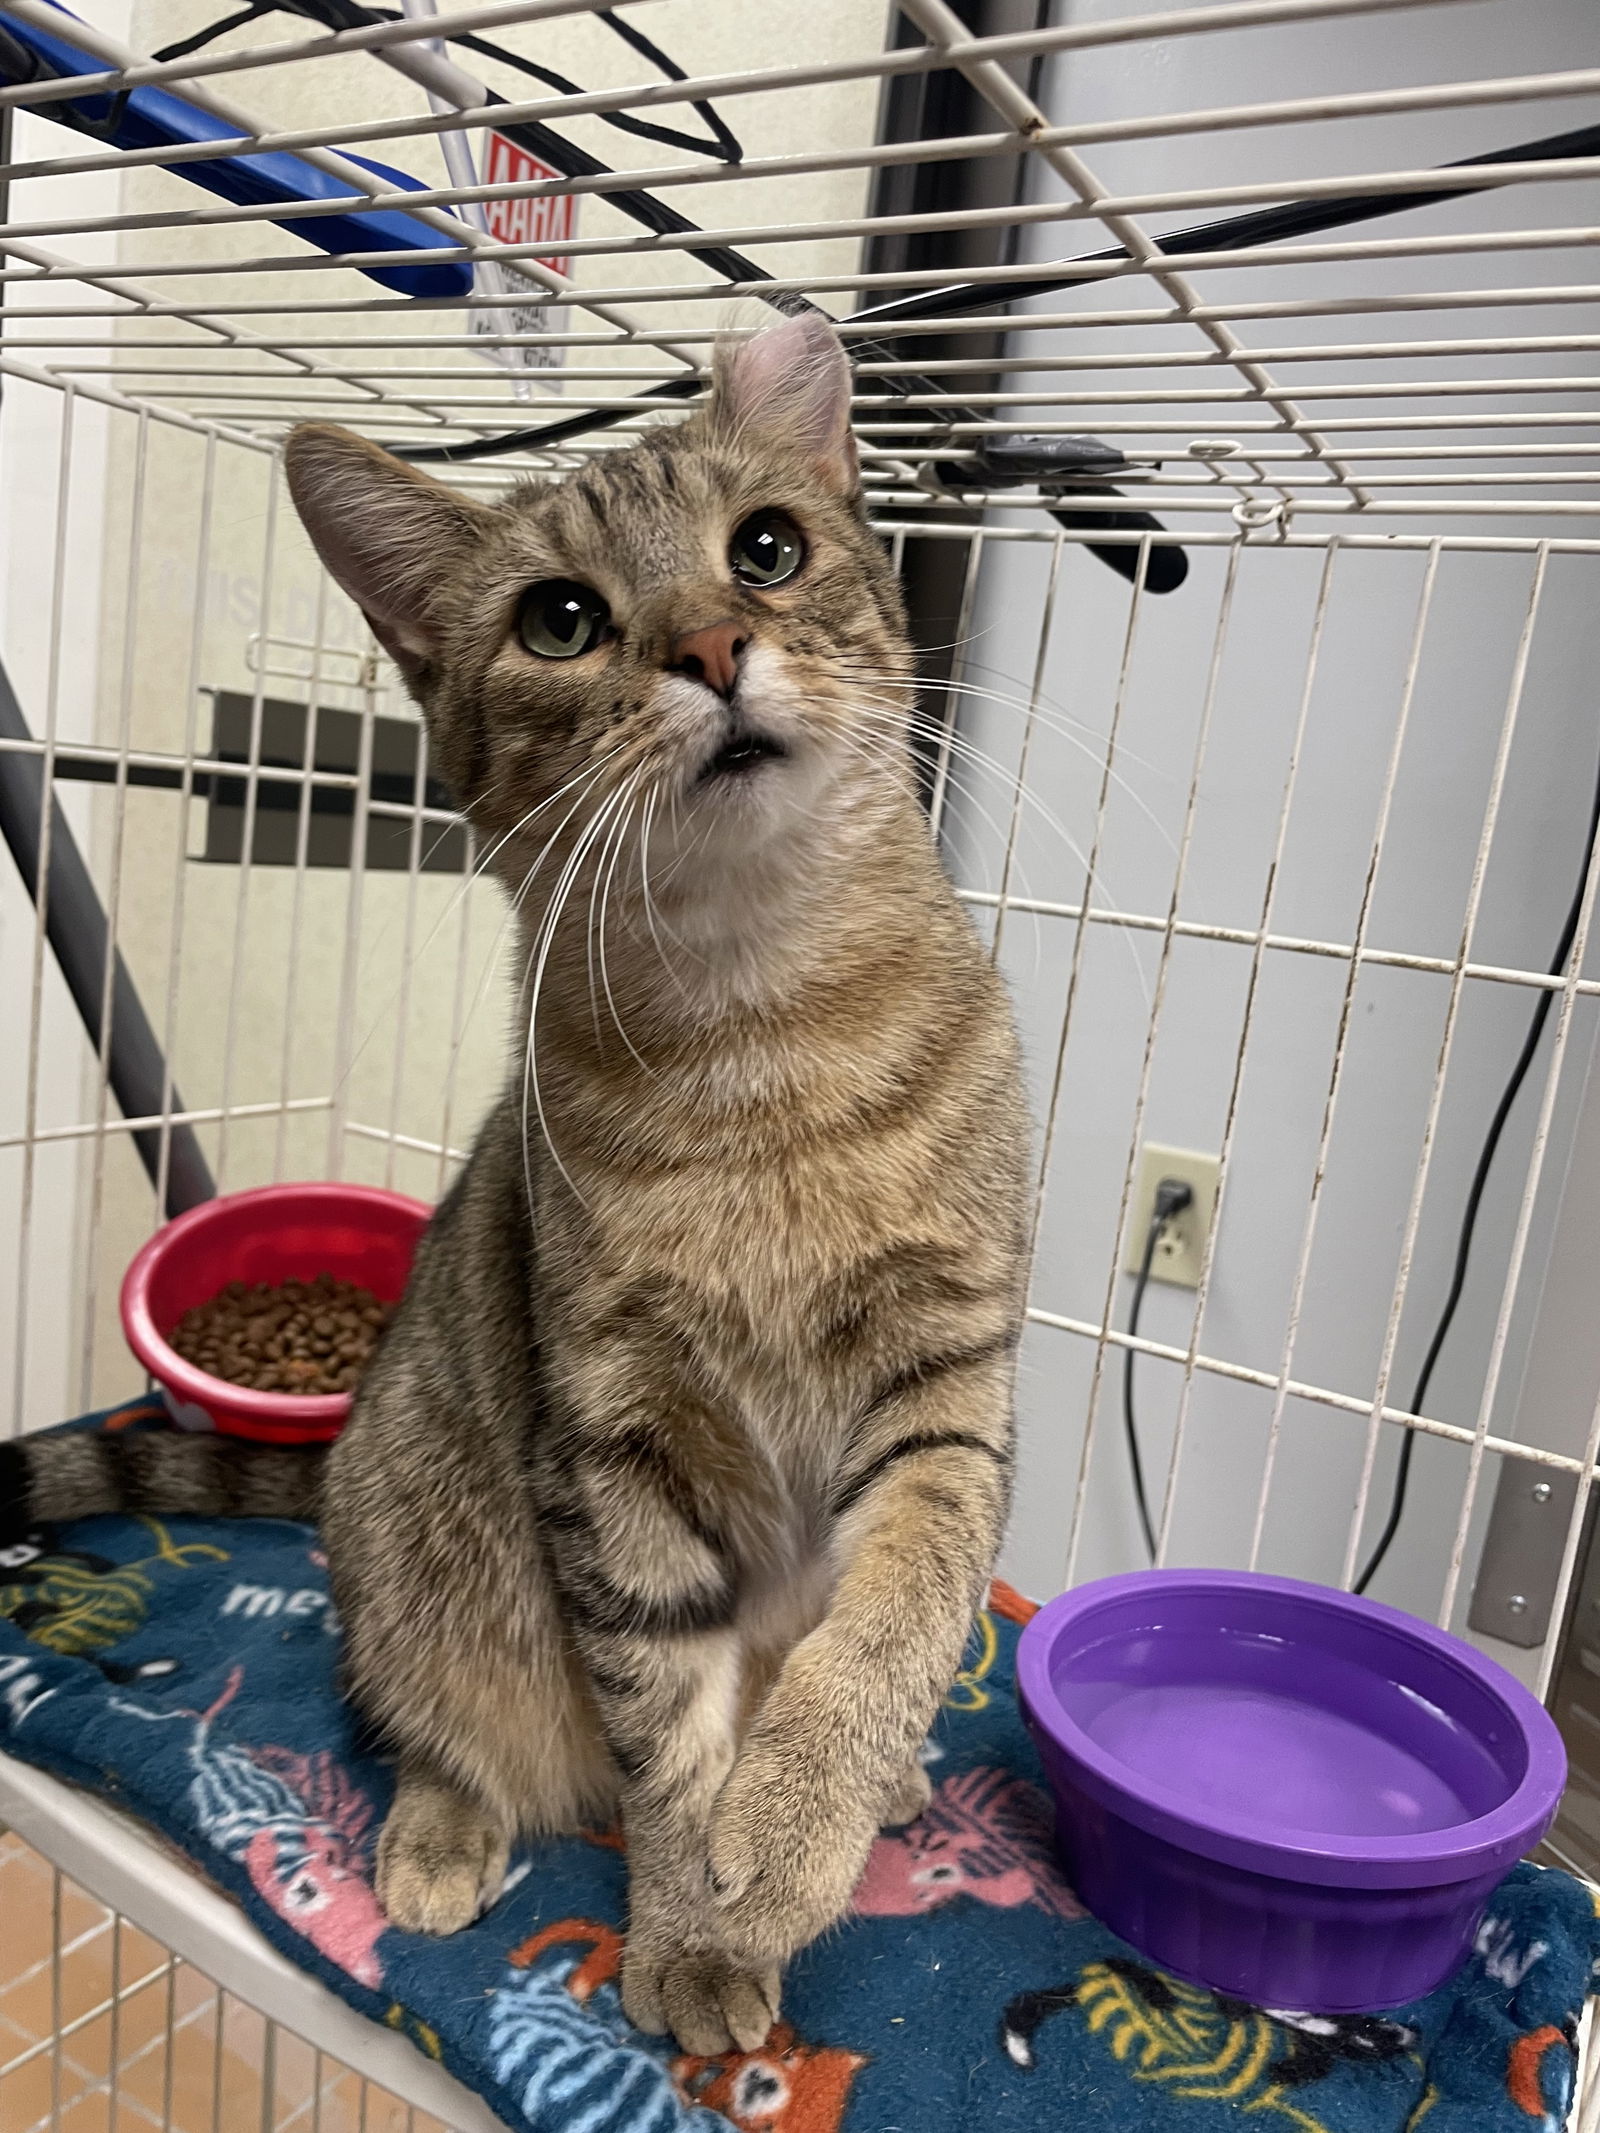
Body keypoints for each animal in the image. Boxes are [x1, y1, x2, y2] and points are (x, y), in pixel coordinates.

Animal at [3, 311, 1028, 2047]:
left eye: (766, 550)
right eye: (562, 621)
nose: (711, 647)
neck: (764, 1033)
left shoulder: (947, 1391)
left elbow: (894, 1618)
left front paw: (801, 1818)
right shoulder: (613, 1446)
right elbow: (666, 1736)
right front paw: (693, 1926)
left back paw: (881, 1790)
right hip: (424, 1548)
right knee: (437, 1719)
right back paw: (436, 1832)